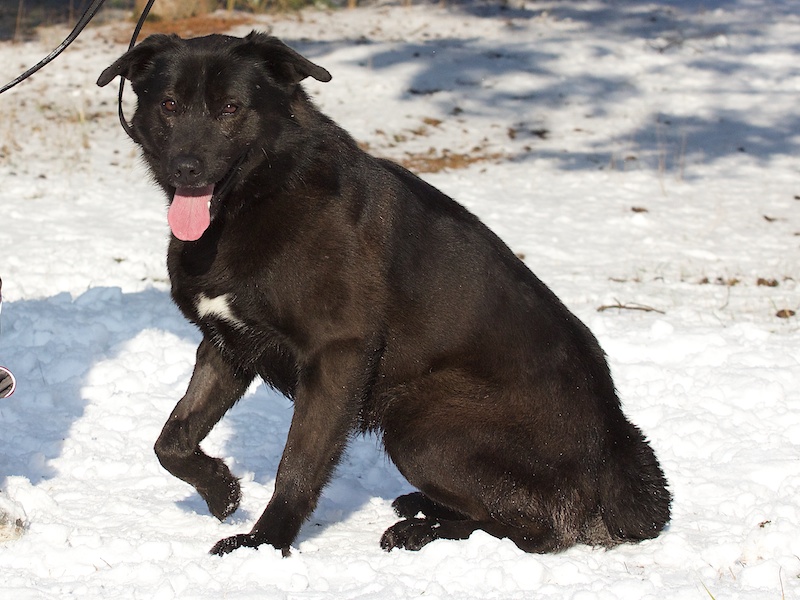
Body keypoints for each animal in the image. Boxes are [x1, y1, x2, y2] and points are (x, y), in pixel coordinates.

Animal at [97, 32, 670, 556]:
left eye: (231, 108)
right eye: (169, 104)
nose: (185, 168)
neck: (262, 197)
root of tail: (612, 446)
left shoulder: (338, 354)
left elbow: (297, 465)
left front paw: (263, 545)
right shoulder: (227, 346)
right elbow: (171, 439)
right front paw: (221, 490)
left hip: (420, 422)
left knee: (535, 529)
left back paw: (424, 531)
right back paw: (422, 508)